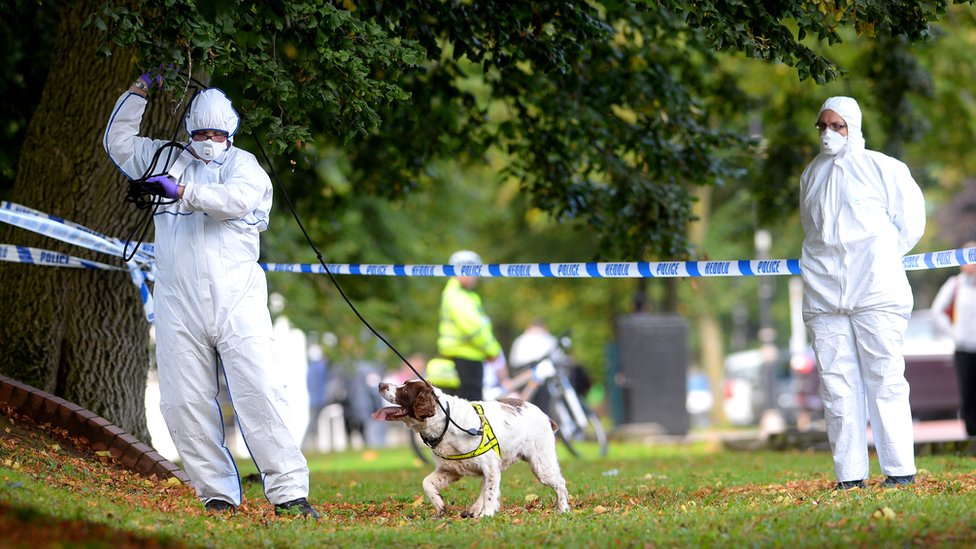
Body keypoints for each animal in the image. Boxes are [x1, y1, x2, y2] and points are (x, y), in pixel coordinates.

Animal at [374, 378, 572, 516]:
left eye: (405, 389)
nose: (381, 384)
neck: (446, 421)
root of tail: (546, 416)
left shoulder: (490, 465)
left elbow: (491, 492)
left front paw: (488, 514)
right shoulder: (451, 469)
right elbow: (427, 483)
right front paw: (440, 506)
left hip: (541, 464)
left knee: (561, 483)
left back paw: (563, 509)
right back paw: (474, 509)